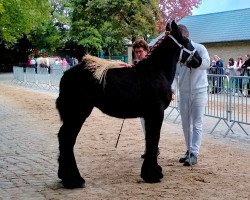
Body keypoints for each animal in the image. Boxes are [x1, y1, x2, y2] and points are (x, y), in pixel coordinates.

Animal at [55, 20, 202, 189]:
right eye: (187, 41)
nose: (199, 59)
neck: (156, 71)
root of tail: (66, 74)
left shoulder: (149, 115)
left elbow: (150, 140)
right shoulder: (156, 113)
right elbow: (153, 139)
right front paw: (152, 174)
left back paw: (66, 177)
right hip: (77, 113)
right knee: (67, 138)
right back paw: (74, 180)